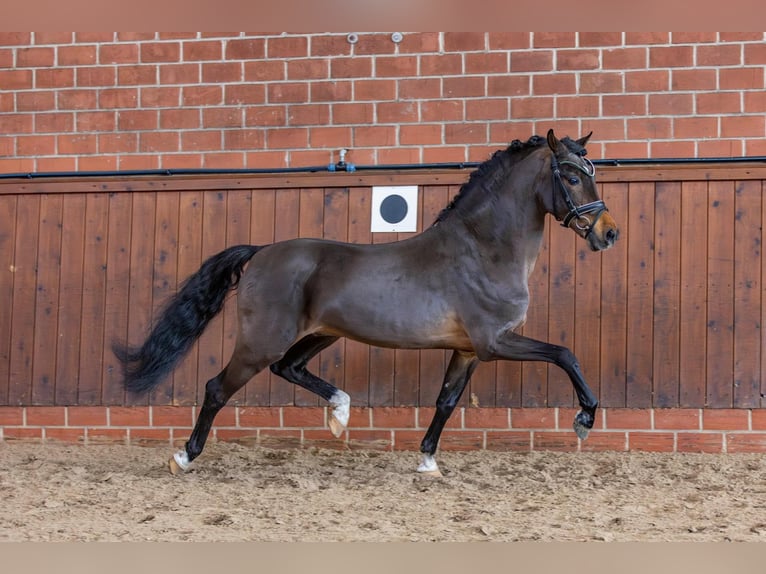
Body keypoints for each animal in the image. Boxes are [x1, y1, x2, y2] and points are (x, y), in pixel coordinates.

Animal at [114, 129, 619, 477]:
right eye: (571, 176)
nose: (608, 233)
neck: (483, 250)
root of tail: (261, 252)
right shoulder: (495, 342)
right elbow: (565, 354)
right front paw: (584, 418)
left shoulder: (467, 350)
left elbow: (446, 401)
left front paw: (428, 463)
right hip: (261, 342)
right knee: (219, 388)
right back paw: (184, 456)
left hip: (321, 334)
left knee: (288, 368)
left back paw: (340, 413)